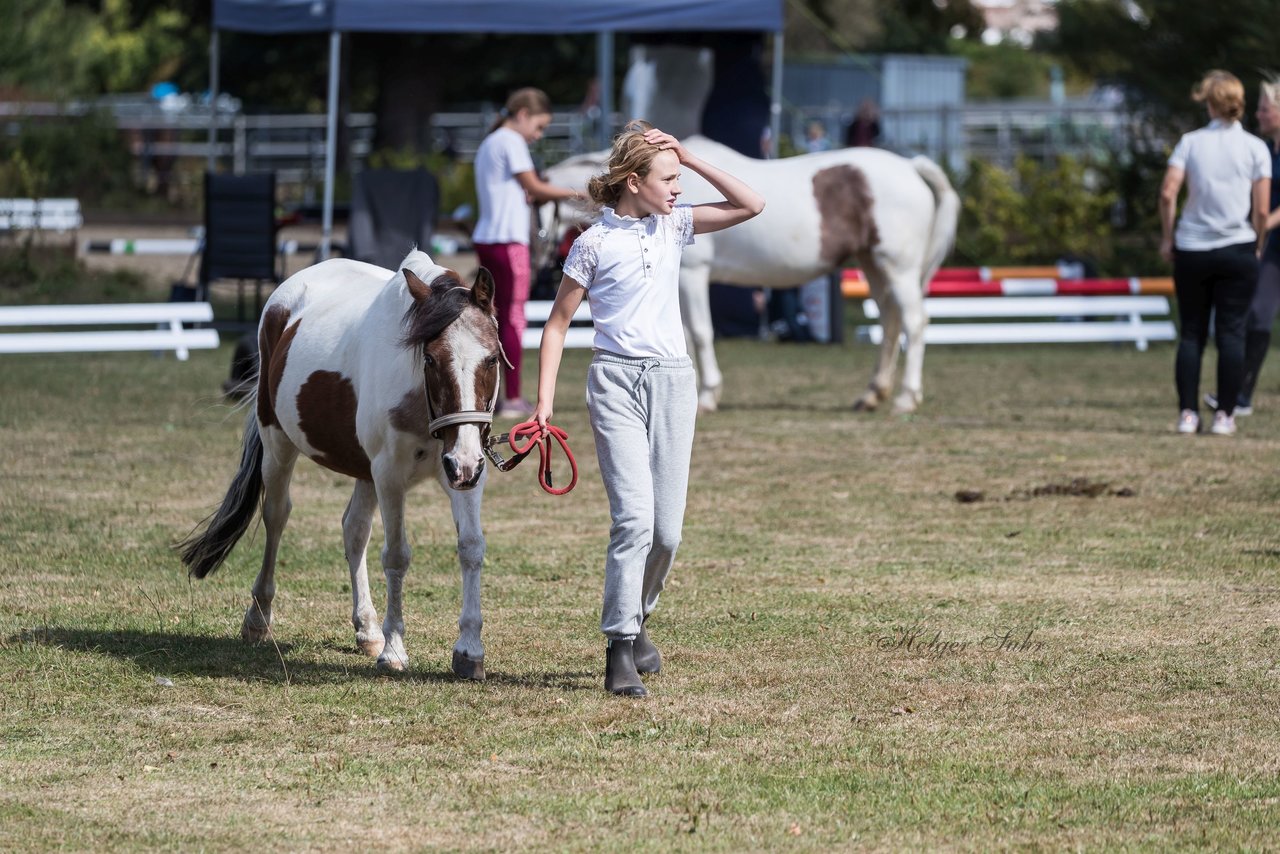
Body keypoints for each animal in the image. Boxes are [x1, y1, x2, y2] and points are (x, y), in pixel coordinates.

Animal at [180, 250, 499, 676]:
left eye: (492, 358)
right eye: (430, 359)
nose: (463, 463)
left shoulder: (465, 471)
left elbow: (471, 548)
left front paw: (469, 650)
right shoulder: (390, 475)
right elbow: (396, 556)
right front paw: (394, 650)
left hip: (366, 470)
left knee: (354, 530)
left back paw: (366, 629)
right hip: (278, 445)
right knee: (276, 516)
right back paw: (258, 618)